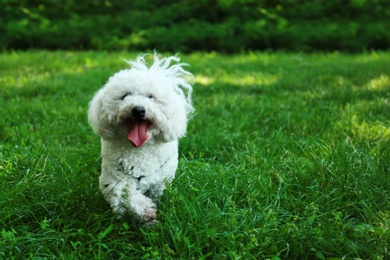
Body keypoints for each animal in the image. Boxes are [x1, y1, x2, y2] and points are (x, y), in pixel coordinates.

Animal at [87, 53, 193, 226]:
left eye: (151, 97)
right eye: (125, 96)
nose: (138, 109)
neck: (139, 150)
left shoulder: (159, 183)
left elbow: (155, 195)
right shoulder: (114, 180)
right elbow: (126, 196)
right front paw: (144, 212)